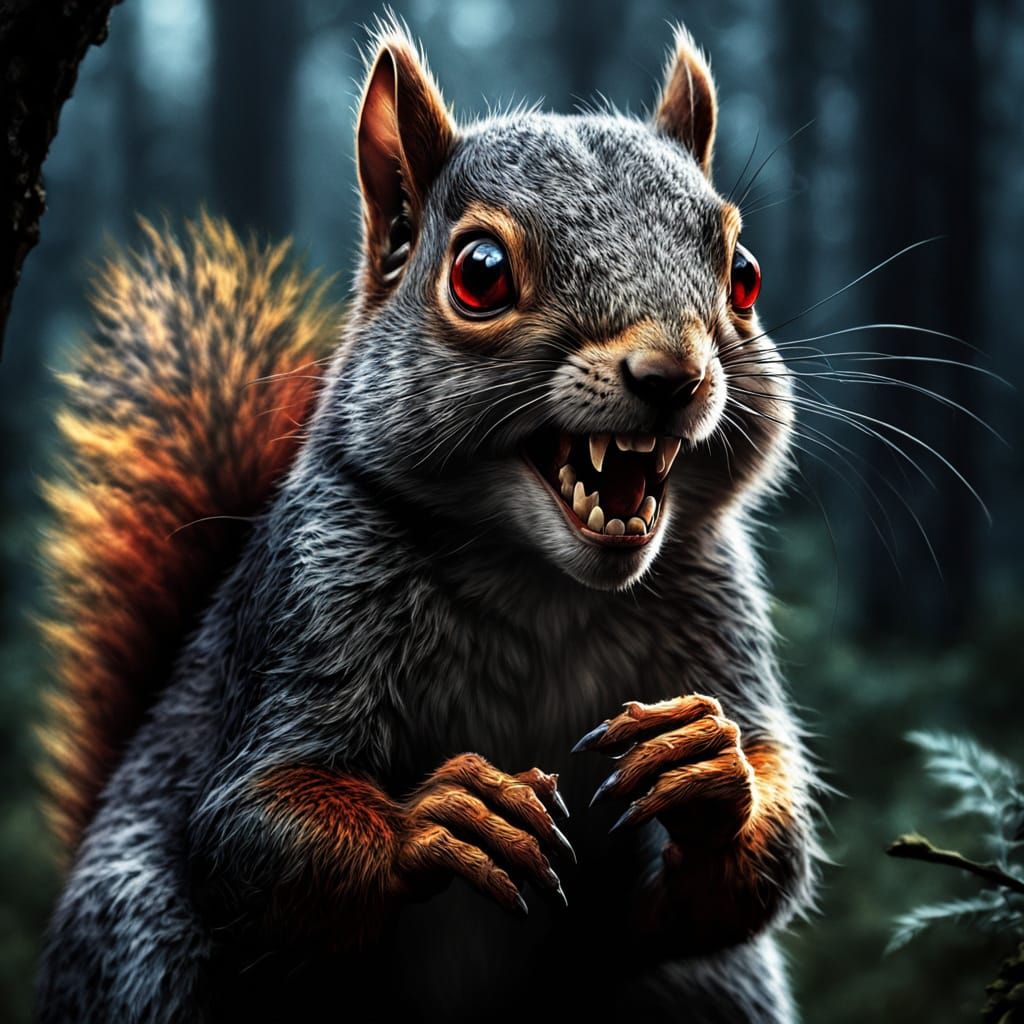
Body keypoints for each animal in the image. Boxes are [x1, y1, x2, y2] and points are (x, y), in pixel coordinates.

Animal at [35, 20, 821, 1024]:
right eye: (479, 274)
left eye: (744, 277)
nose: (673, 375)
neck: (542, 585)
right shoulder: (311, 600)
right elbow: (251, 823)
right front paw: (437, 819)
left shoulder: (721, 611)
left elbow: (754, 870)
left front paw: (709, 766)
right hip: (144, 950)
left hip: (704, 988)